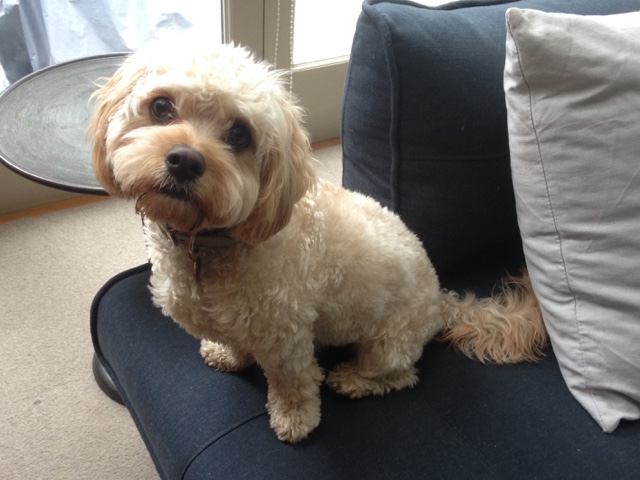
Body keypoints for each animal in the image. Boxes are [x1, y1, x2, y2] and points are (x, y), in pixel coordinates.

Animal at [88, 43, 547, 443]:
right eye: (161, 107)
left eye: (240, 135)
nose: (185, 160)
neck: (206, 242)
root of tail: (440, 296)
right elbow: (235, 341)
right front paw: (230, 356)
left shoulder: (286, 337)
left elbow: (293, 383)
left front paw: (295, 420)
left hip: (389, 343)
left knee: (400, 375)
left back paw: (354, 379)